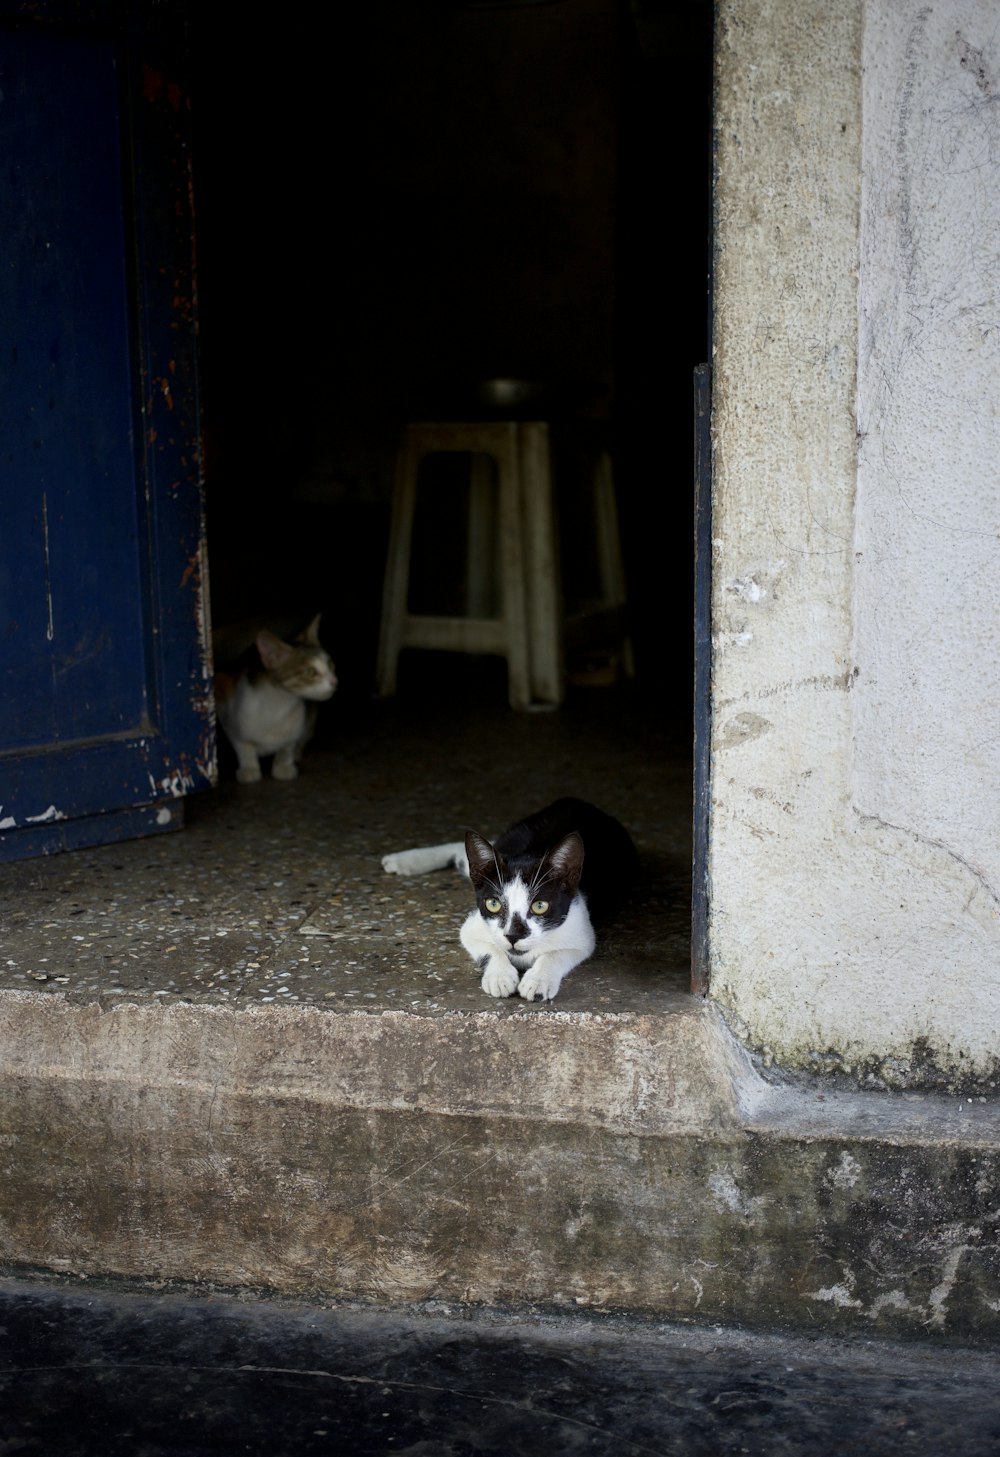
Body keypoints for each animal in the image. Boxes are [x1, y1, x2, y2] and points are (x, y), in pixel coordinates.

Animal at [212, 611, 338, 780]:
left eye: (330, 663)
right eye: (309, 672)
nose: (334, 681)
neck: (280, 706)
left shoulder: (297, 724)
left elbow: (288, 745)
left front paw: (283, 765)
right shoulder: (224, 700)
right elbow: (243, 745)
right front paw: (249, 768)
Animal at [379, 798, 638, 1002]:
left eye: (540, 906)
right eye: (493, 904)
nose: (513, 936)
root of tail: (580, 802)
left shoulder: (581, 931)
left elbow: (557, 953)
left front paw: (539, 980)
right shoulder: (472, 926)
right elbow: (488, 947)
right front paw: (499, 976)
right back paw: (404, 860)